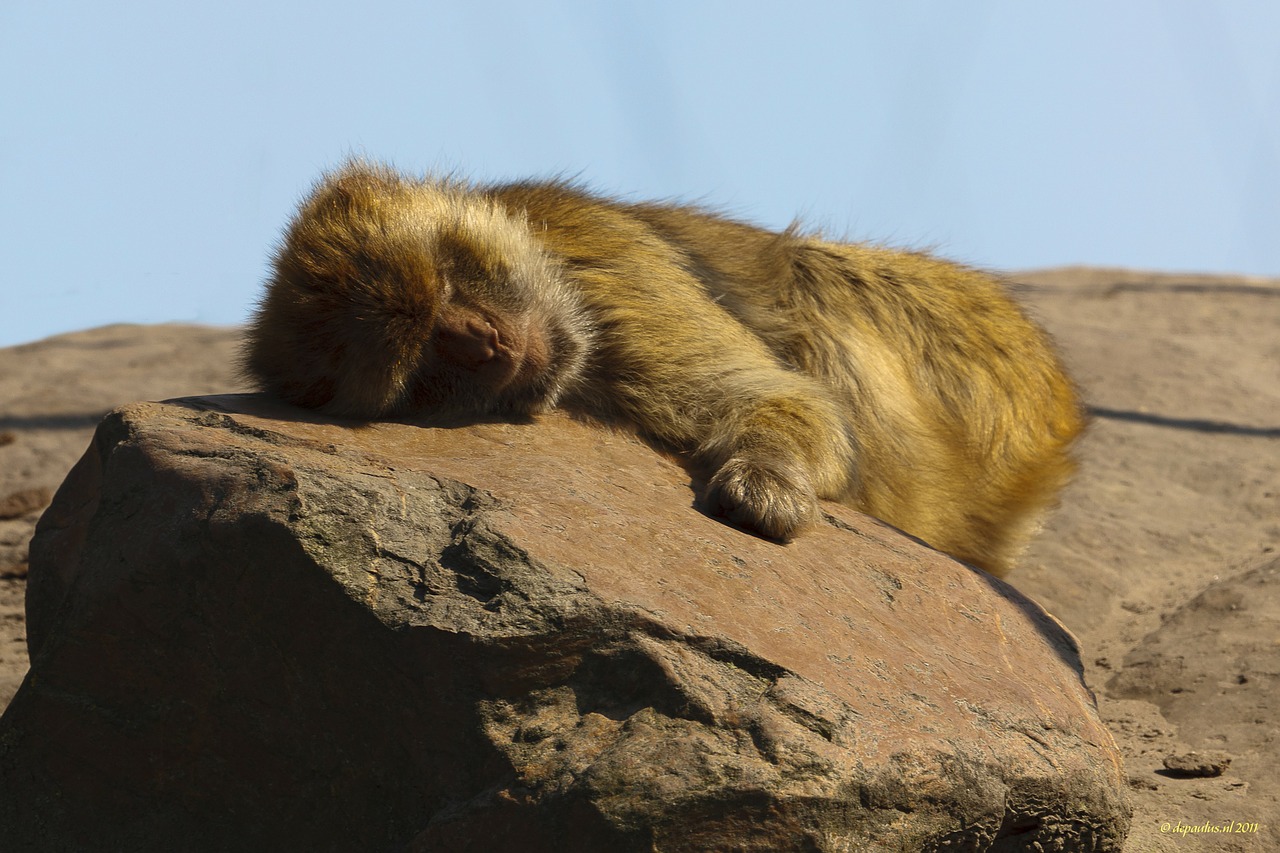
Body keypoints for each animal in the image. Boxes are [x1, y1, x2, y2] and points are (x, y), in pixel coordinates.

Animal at [238, 159, 1080, 571]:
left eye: (448, 282)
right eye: (423, 367)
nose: (488, 343)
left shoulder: (610, 263)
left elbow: (776, 395)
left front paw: (767, 476)